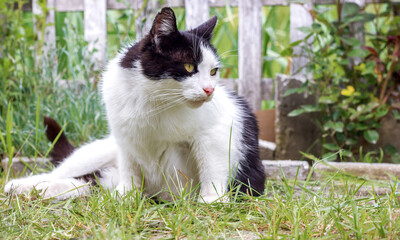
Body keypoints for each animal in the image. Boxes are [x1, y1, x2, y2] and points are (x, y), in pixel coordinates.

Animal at [4, 7, 266, 202]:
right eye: (189, 67)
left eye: (213, 72)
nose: (209, 90)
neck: (153, 101)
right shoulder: (125, 139)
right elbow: (130, 170)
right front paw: (126, 197)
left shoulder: (215, 133)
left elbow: (212, 167)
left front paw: (210, 201)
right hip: (95, 152)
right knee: (64, 173)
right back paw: (20, 185)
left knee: (82, 184)